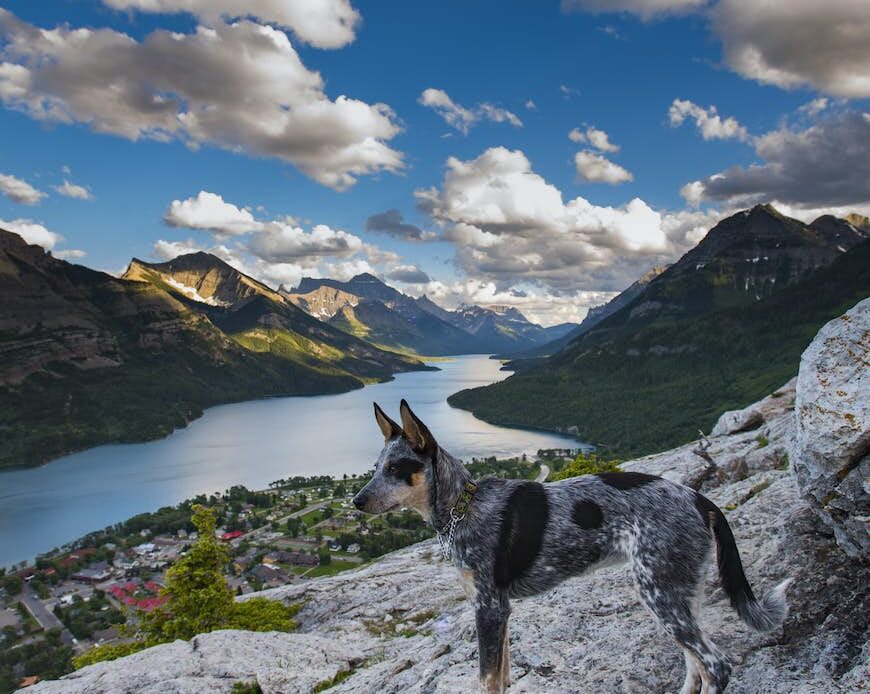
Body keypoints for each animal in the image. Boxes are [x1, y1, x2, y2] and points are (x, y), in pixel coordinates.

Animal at [350, 402, 792, 694]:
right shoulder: (499, 609)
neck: (465, 505)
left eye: (395, 468)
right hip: (678, 593)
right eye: (375, 467)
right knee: (696, 662)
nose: (356, 501)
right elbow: (502, 675)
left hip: (660, 593)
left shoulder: (488, 607)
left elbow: (487, 677)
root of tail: (700, 499)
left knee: (715, 665)